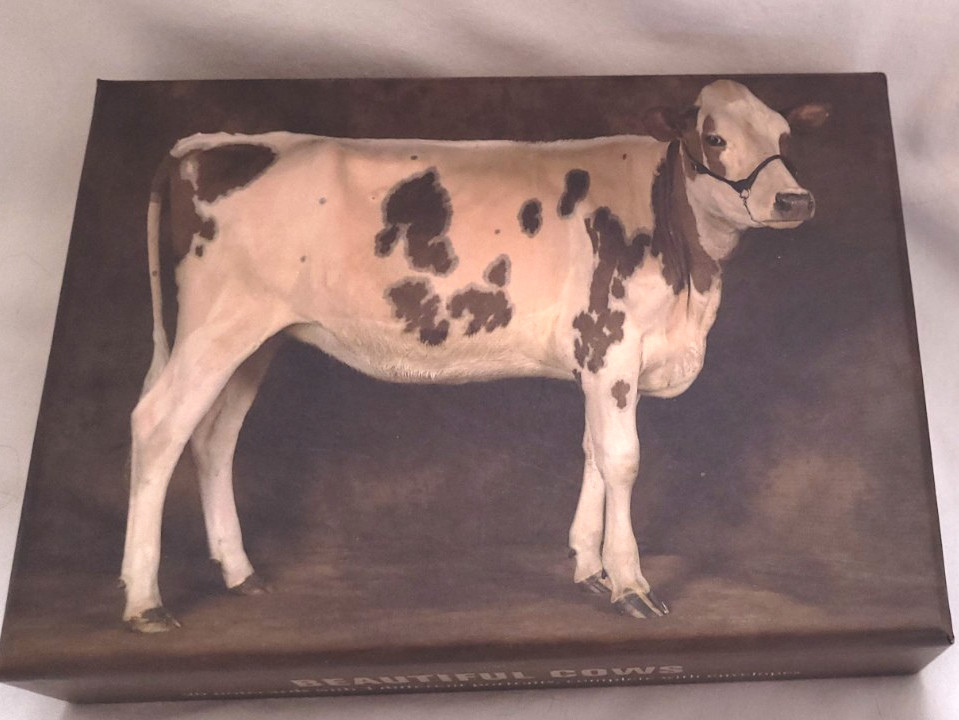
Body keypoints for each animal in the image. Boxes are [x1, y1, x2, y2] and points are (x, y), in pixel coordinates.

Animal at [119, 80, 829, 632]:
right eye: (714, 138)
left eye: (785, 136)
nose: (794, 200)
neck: (690, 276)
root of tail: (204, 144)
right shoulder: (613, 347)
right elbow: (623, 461)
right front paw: (631, 585)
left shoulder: (595, 359)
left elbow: (592, 453)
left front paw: (589, 569)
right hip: (217, 325)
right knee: (159, 425)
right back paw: (145, 601)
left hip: (257, 338)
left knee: (213, 439)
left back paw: (240, 573)